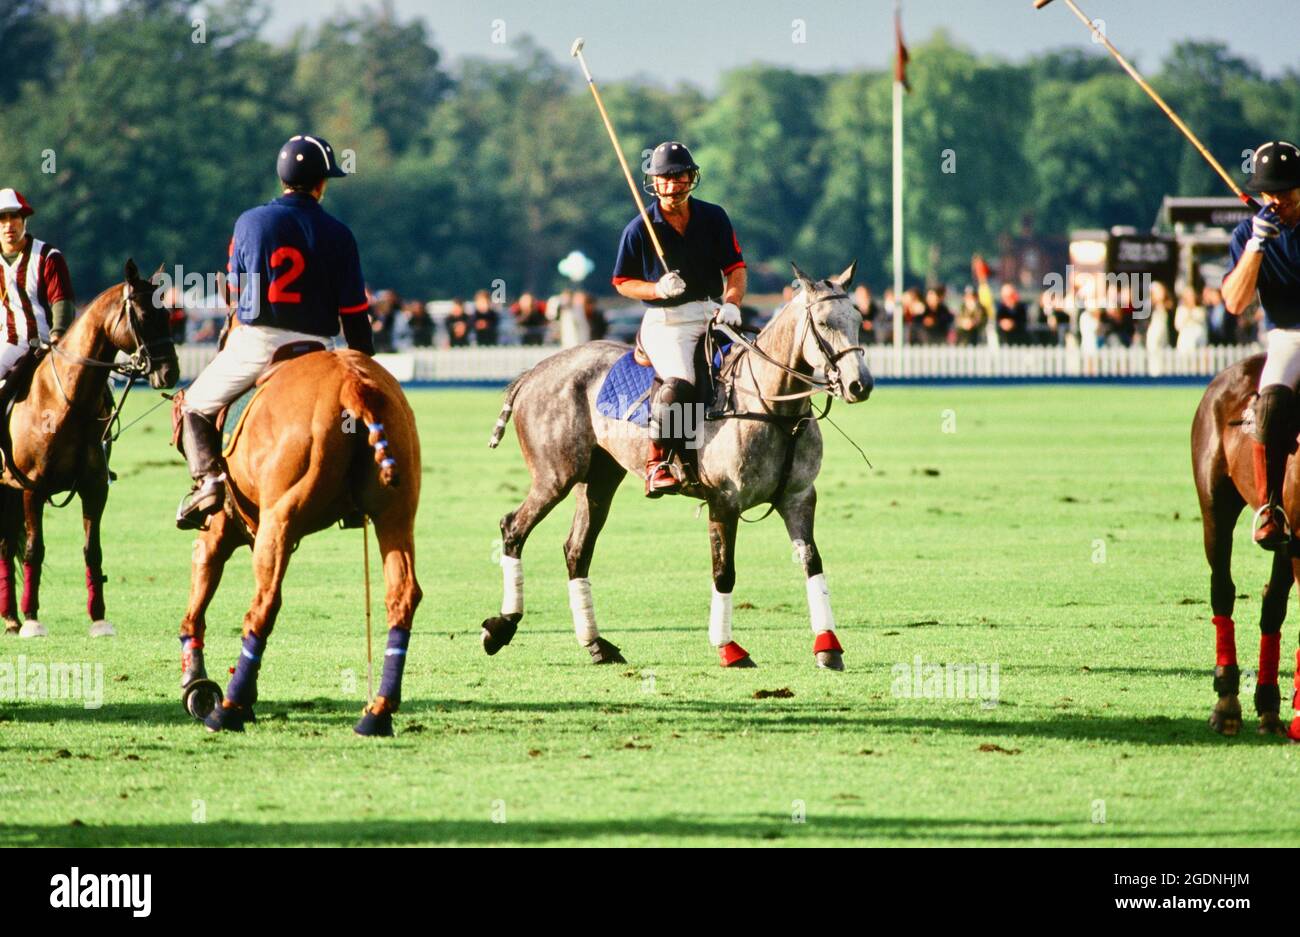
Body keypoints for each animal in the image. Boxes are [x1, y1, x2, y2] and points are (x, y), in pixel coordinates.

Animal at [0, 257, 178, 636]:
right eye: (143, 316)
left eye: (169, 314)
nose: (170, 373)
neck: (66, 402)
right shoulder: (31, 488)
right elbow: (35, 550)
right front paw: (33, 619)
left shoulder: (94, 488)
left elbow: (91, 550)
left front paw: (99, 618)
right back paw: (16, 618)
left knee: (5, 544)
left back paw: (10, 617)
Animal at [175, 345, 421, 738]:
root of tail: (353, 384)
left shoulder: (221, 525)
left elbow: (197, 597)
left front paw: (197, 685)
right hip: (395, 510)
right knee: (403, 595)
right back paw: (377, 714)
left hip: (281, 517)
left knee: (264, 606)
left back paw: (226, 710)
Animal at [478, 262, 873, 670]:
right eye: (823, 322)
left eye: (859, 318)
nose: (860, 385)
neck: (774, 408)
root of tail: (533, 372)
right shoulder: (724, 501)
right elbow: (724, 571)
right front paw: (728, 648)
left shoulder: (798, 496)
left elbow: (812, 562)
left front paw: (828, 646)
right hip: (555, 475)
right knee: (513, 528)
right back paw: (501, 627)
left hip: (600, 477)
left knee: (577, 549)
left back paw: (597, 644)